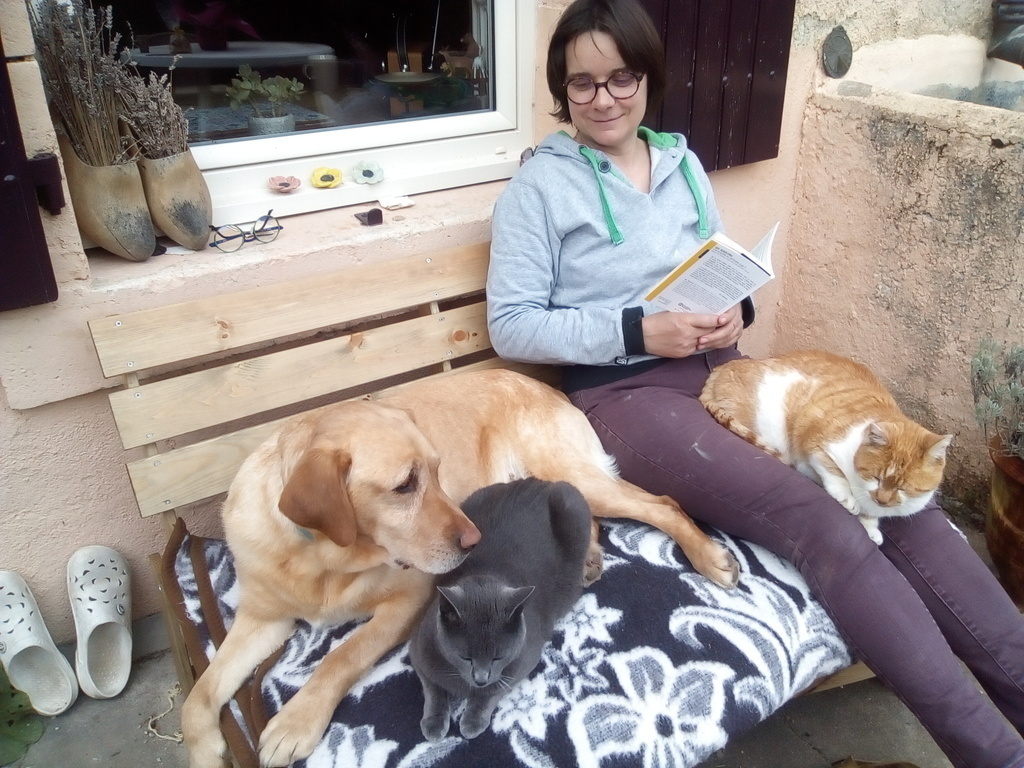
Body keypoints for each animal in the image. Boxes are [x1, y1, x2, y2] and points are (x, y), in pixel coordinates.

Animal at [408, 477, 592, 742]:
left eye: (498, 657)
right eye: (465, 657)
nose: (480, 679)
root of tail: (539, 482)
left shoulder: (524, 660)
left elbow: (493, 692)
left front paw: (472, 721)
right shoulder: (418, 649)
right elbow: (434, 690)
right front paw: (433, 723)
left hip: (571, 503)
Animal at [699, 350, 952, 545]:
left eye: (904, 488)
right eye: (877, 478)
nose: (882, 500)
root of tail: (718, 370)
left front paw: (870, 526)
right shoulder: (813, 437)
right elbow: (831, 468)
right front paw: (846, 497)